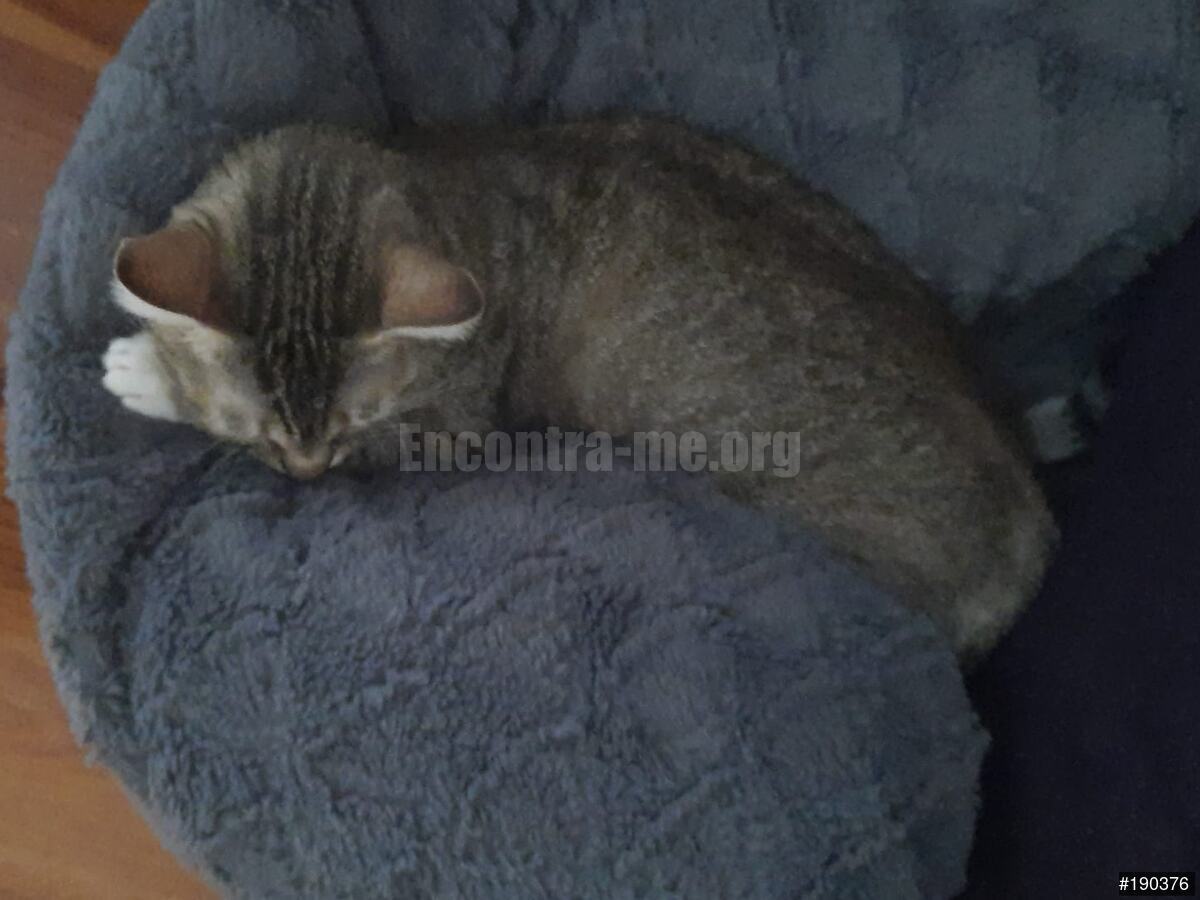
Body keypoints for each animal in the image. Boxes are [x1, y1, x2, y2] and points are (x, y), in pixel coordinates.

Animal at [101, 118, 1056, 657]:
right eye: (268, 437)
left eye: (340, 431)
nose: (302, 473)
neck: (455, 201)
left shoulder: (449, 428)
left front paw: (146, 370)